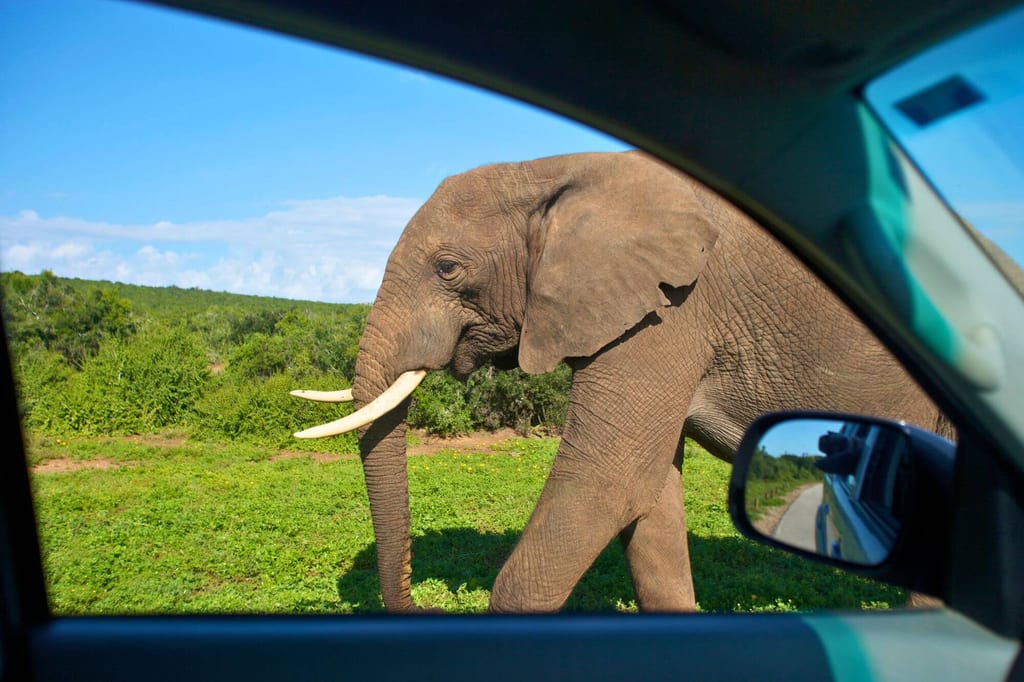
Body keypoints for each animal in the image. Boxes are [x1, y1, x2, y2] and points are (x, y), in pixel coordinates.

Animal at [292, 151, 950, 613]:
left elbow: (607, 483)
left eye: (447, 268)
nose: (417, 607)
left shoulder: (671, 312)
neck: (550, 172)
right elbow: (651, 497)